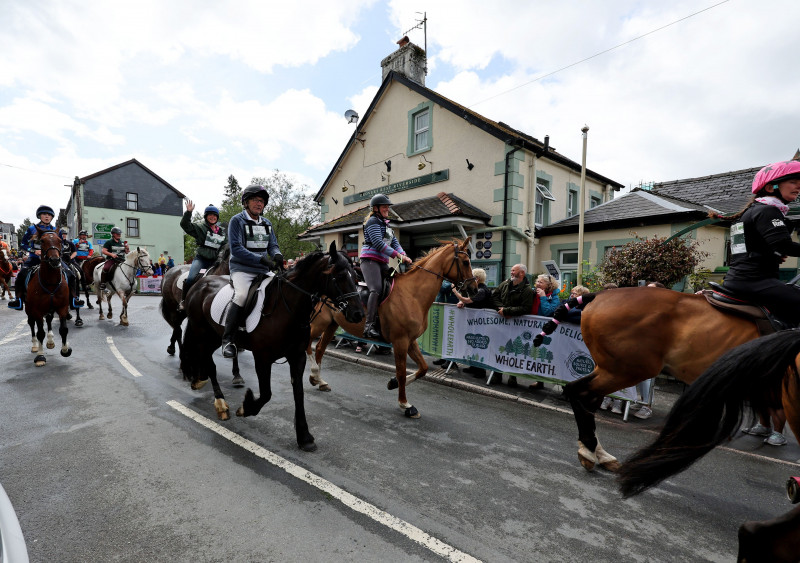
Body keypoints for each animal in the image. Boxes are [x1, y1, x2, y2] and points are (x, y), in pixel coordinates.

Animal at [23, 230, 72, 368]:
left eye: (59, 241)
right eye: (42, 241)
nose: (55, 260)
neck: (51, 282)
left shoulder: (62, 307)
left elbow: (63, 329)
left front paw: (65, 350)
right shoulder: (37, 311)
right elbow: (40, 332)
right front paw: (40, 356)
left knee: (49, 319)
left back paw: (50, 341)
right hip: (29, 309)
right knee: (31, 324)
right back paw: (35, 345)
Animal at [179, 243, 362, 454]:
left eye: (355, 276)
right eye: (339, 276)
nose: (358, 314)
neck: (286, 308)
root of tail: (199, 283)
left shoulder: (297, 356)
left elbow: (298, 394)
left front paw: (304, 437)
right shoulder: (263, 358)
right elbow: (266, 394)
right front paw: (246, 407)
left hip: (215, 335)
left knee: (205, 356)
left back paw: (199, 381)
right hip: (202, 332)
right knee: (209, 362)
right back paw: (220, 404)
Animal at [306, 238, 476, 418]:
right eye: (465, 262)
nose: (474, 288)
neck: (412, 294)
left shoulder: (411, 341)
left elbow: (423, 368)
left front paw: (392, 383)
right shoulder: (400, 341)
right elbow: (401, 372)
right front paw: (405, 404)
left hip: (332, 324)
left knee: (319, 348)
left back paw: (318, 380)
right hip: (320, 322)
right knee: (308, 343)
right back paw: (314, 373)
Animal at [536, 286, 760, 472]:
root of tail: (599, 295)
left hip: (611, 369)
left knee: (584, 396)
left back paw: (596, 452)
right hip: (626, 371)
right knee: (581, 393)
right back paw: (590, 450)